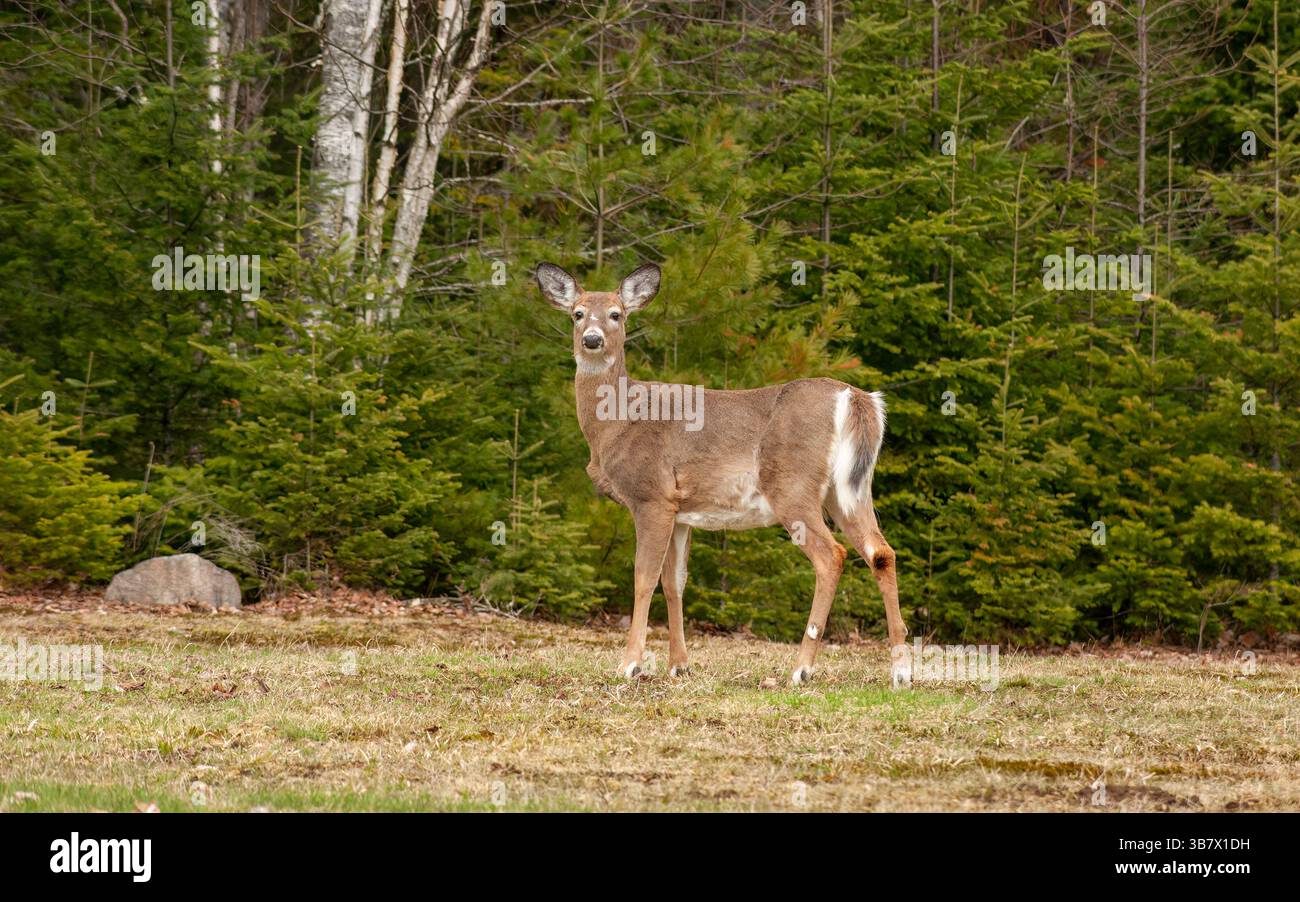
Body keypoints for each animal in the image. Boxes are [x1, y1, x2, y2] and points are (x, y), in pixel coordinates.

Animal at [536, 261, 910, 687]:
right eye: (577, 313)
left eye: (616, 314)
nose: (593, 340)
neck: (618, 422)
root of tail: (857, 399)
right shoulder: (680, 509)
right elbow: (675, 582)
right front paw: (679, 664)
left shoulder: (651, 495)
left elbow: (643, 577)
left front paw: (629, 664)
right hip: (850, 489)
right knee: (881, 552)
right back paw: (901, 671)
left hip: (792, 484)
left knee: (832, 555)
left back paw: (801, 669)